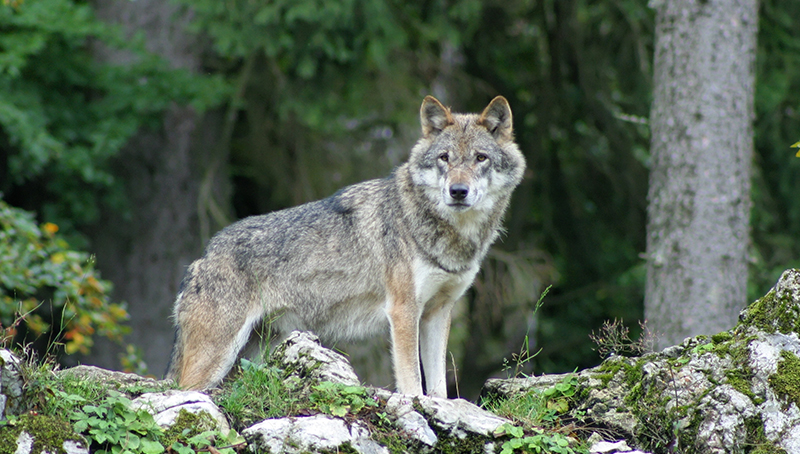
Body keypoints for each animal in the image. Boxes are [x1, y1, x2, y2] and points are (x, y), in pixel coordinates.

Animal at [166, 95, 526, 397]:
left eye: (480, 158)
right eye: (444, 158)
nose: (458, 191)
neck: (449, 234)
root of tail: (202, 258)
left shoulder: (438, 312)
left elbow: (438, 387)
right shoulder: (403, 311)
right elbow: (411, 380)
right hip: (215, 358)